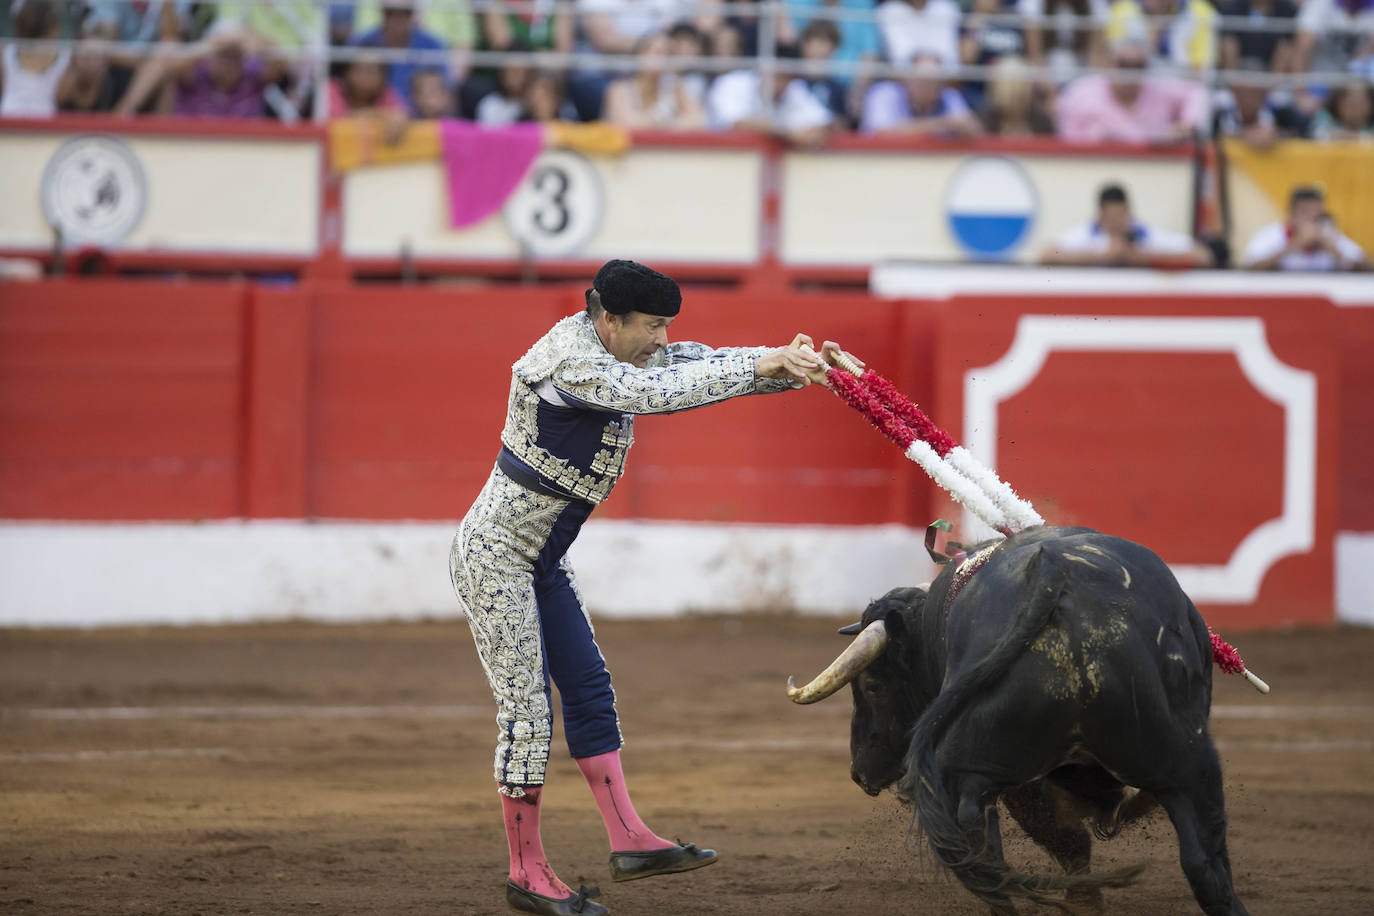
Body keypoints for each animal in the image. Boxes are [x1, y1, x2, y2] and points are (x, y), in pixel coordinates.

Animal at [791, 521, 1253, 916]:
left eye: (872, 685)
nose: (860, 773)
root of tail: (1054, 577)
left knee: (979, 825)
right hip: (1186, 758)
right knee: (1203, 861)